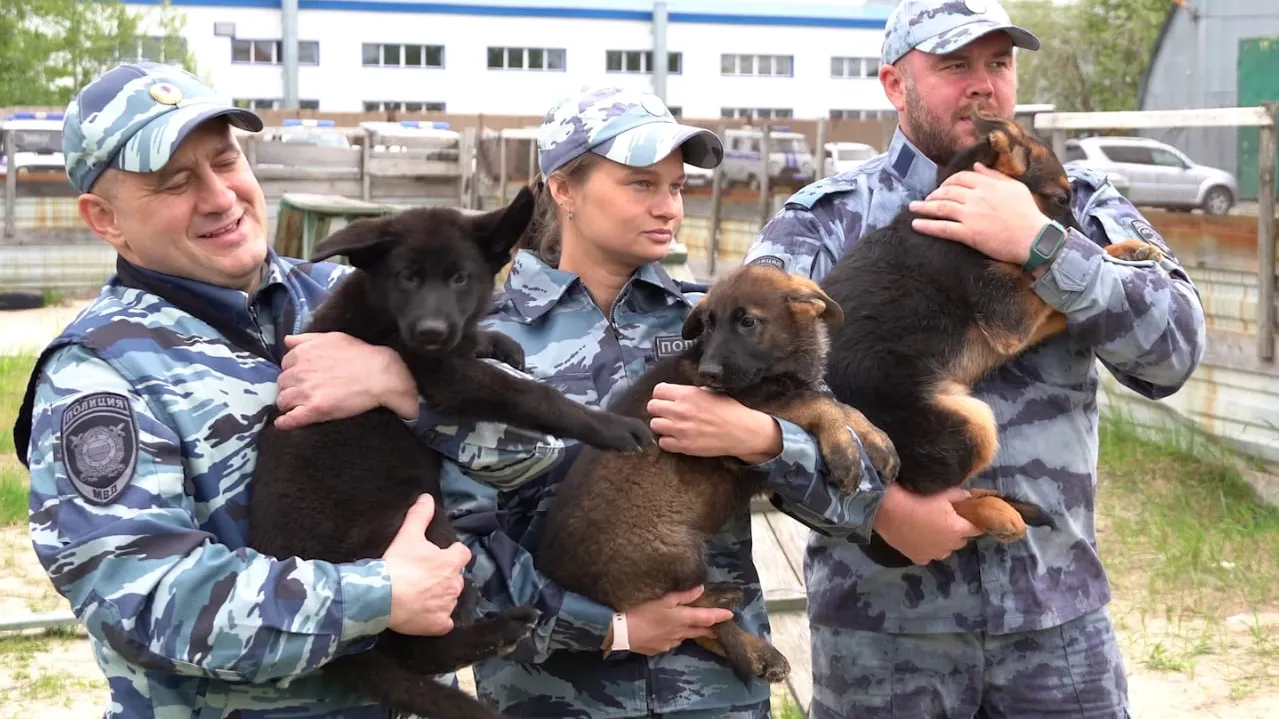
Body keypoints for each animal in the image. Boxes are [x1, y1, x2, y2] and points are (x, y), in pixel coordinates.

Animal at [245, 185, 654, 716]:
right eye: (406, 277)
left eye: (460, 277)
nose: (432, 332)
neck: (381, 306)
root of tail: (338, 659)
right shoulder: (441, 374)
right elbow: (533, 395)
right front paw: (612, 427)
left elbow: (483, 347)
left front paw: (497, 341)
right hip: (429, 540)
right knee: (417, 649)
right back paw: (500, 630)